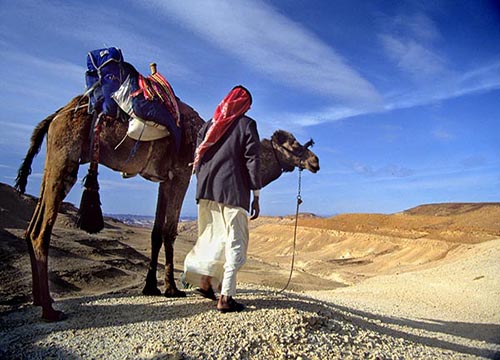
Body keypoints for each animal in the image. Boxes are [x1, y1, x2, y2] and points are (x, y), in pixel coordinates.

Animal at [16, 94, 320, 322]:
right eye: (295, 146)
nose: (315, 161)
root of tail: (56, 115)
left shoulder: (163, 180)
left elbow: (155, 232)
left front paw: (151, 287)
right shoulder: (180, 174)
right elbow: (170, 231)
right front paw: (172, 289)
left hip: (53, 161)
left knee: (31, 227)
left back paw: (39, 299)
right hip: (65, 157)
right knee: (41, 232)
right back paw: (50, 310)